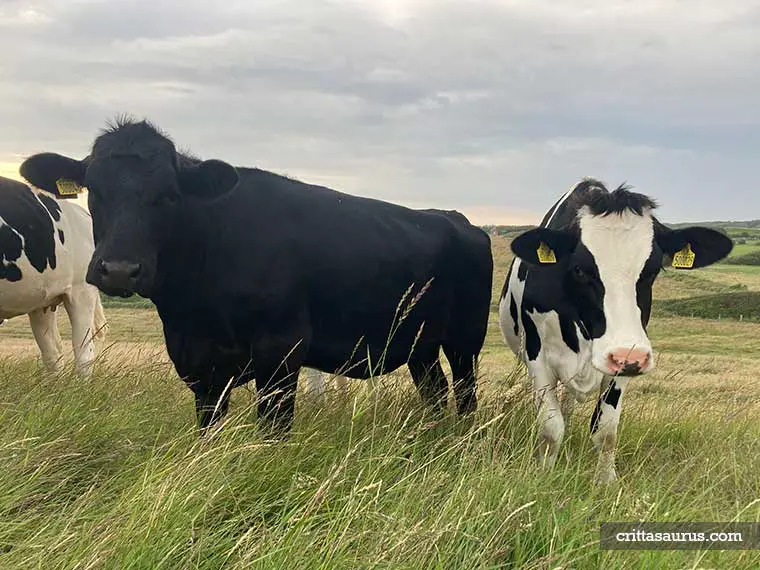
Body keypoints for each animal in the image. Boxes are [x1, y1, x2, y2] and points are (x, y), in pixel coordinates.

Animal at [20, 117, 492, 432]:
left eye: (169, 195)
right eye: (94, 190)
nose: (119, 270)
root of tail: (455, 218)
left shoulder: (281, 350)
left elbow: (273, 430)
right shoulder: (199, 364)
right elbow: (208, 428)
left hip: (465, 339)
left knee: (465, 393)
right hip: (420, 346)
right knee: (435, 392)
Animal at [496, 176, 732, 480]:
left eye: (652, 270)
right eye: (580, 270)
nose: (628, 357)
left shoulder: (624, 362)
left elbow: (606, 430)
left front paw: (606, 481)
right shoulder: (539, 359)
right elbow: (550, 427)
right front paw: (544, 475)